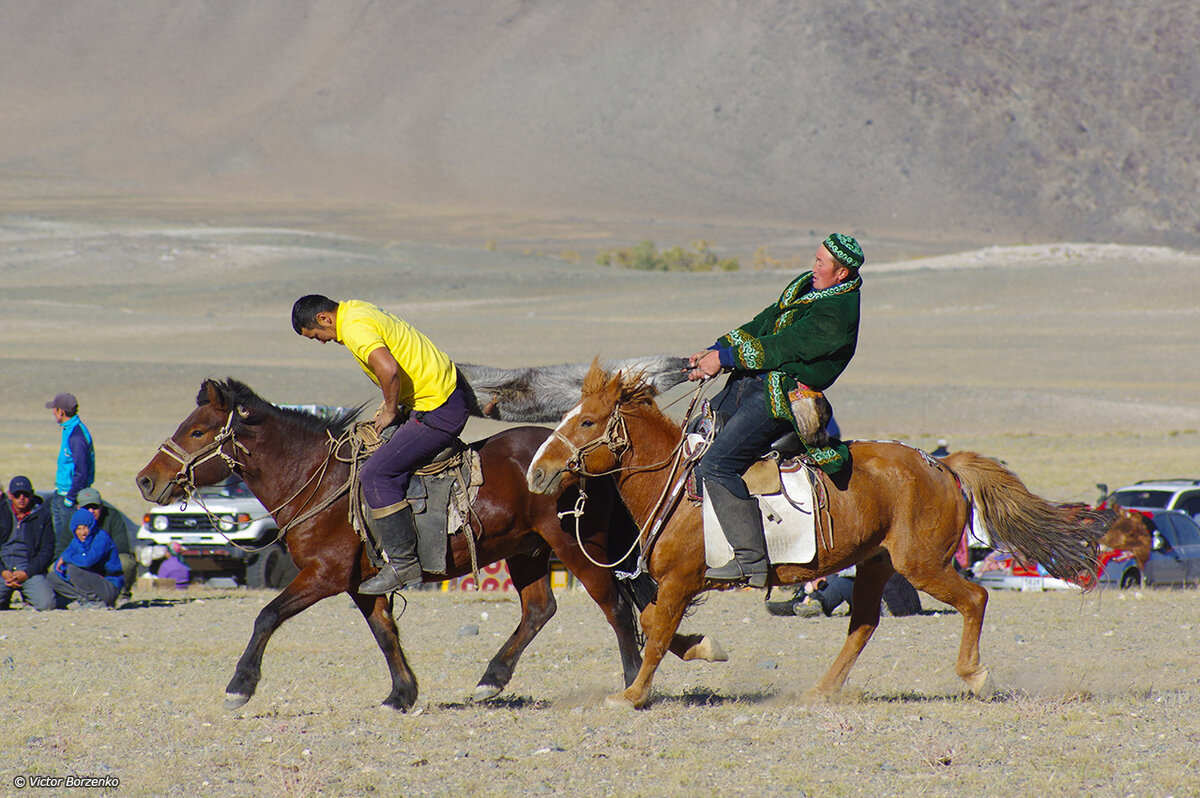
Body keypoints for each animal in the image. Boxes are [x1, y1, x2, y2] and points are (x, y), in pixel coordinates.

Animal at [137, 379, 724, 710]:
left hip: (579, 548)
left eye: (197, 431)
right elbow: (386, 635)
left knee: (619, 609)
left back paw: (630, 684)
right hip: (526, 551)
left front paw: (240, 686)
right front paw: (402, 695)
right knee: (542, 609)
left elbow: (266, 616)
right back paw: (492, 680)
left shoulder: (324, 576)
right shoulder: (363, 583)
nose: (146, 481)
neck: (317, 479)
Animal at [528, 364, 1104, 705]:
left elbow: (655, 636)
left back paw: (975, 675)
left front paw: (631, 697)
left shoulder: (679, 583)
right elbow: (655, 628)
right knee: (864, 623)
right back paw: (823, 689)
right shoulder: (671, 585)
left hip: (924, 563)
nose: (537, 472)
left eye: (587, 422)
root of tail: (940, 465)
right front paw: (705, 650)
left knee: (975, 598)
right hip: (877, 563)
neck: (674, 484)